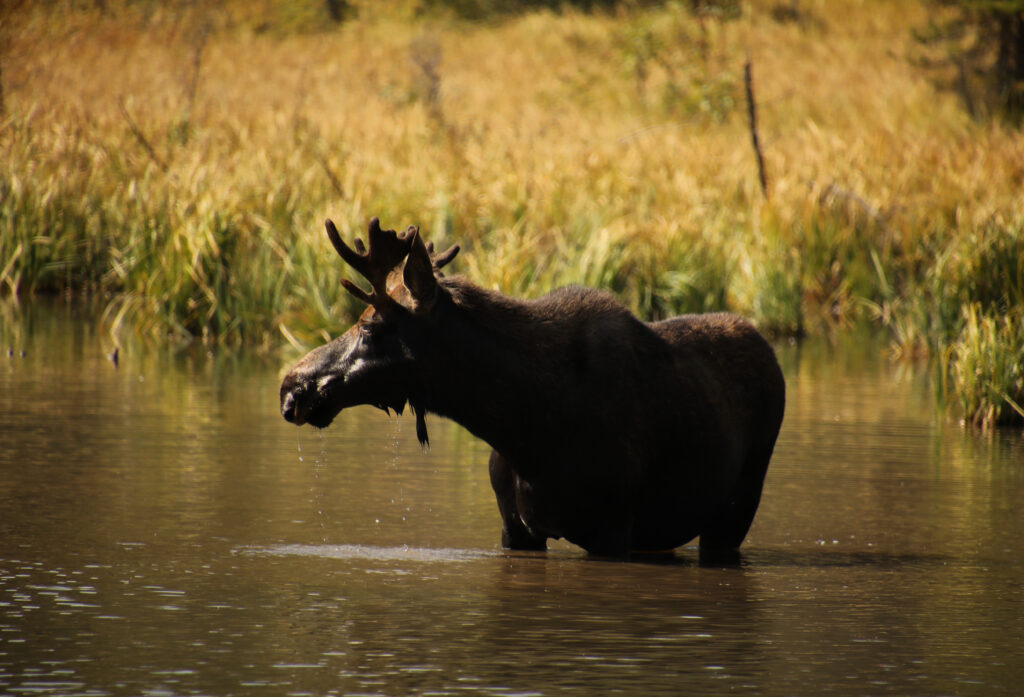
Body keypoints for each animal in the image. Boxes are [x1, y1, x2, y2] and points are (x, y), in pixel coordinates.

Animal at [280, 215, 782, 552]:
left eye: (369, 325)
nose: (292, 387)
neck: (524, 426)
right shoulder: (515, 528)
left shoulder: (614, 530)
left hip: (736, 509)